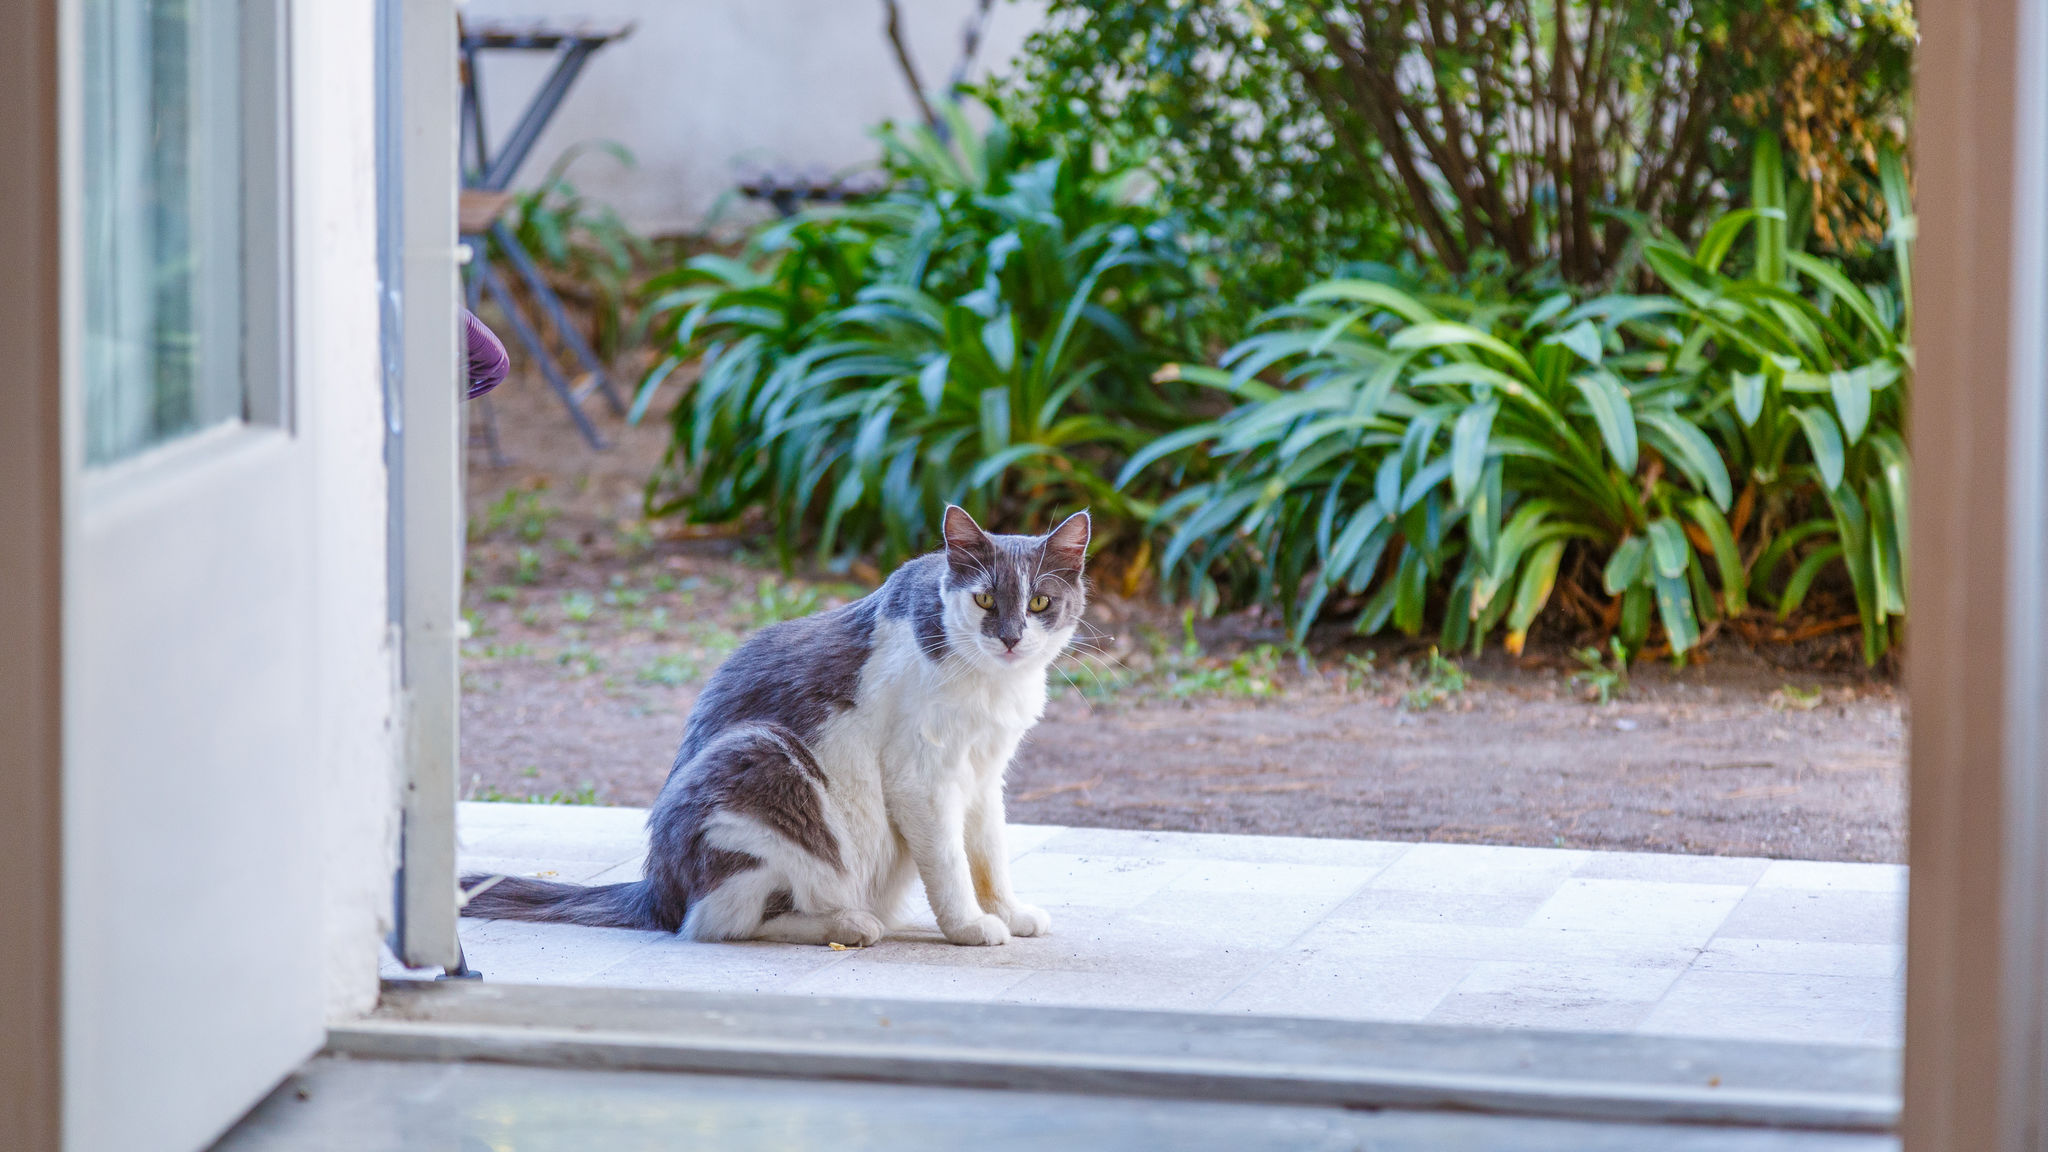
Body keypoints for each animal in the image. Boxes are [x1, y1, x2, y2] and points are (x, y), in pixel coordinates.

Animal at [466, 506, 1097, 947]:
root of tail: (655, 890)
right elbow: (949, 865)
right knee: (722, 920)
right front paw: (969, 926)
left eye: (1040, 602)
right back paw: (847, 924)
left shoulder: (984, 775)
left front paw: (1007, 913)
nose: (1011, 638)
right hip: (761, 761)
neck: (989, 682)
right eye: (986, 599)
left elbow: (988, 854)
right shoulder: (922, 778)